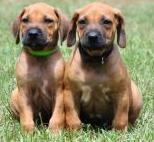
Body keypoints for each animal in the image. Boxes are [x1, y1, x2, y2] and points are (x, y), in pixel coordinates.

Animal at [10, 2, 68, 133]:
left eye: (48, 20)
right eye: (25, 20)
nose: (33, 33)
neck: (40, 57)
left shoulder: (59, 92)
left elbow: (57, 115)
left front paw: (54, 132)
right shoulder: (24, 91)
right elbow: (26, 114)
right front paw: (28, 132)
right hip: (14, 94)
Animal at [63, 2, 142, 131]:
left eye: (106, 22)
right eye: (82, 22)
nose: (92, 36)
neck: (95, 60)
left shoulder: (122, 94)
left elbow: (120, 118)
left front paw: (119, 132)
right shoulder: (71, 93)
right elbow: (72, 117)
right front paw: (74, 131)